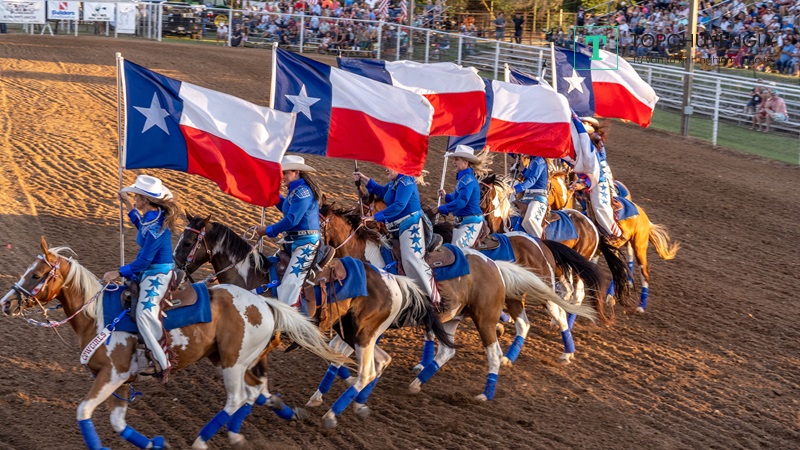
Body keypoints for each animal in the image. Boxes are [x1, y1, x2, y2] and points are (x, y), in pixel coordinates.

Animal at [1, 237, 348, 448]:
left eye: (37, 275)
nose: (6, 303)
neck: (98, 315)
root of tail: (264, 302)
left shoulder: (111, 376)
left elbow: (84, 412)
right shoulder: (123, 381)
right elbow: (117, 423)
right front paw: (156, 443)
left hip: (234, 363)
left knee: (238, 398)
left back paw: (201, 441)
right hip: (232, 359)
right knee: (253, 392)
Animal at [174, 214, 460, 428]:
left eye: (187, 242)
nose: (176, 272)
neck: (252, 279)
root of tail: (394, 280)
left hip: (363, 334)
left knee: (367, 371)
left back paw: (332, 414)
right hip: (353, 333)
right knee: (380, 362)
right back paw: (356, 404)